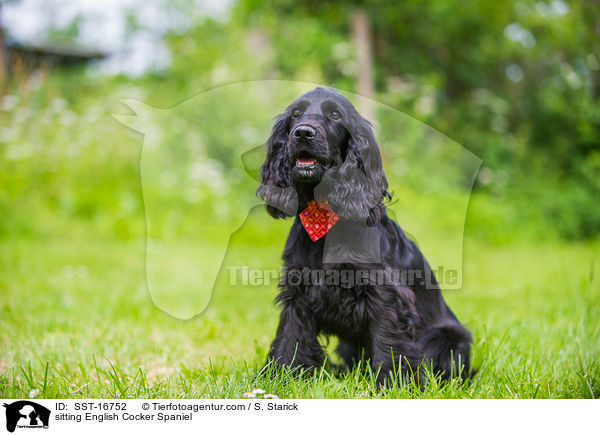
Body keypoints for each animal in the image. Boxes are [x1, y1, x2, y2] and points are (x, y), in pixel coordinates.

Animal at [255, 87, 472, 384]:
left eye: (335, 114)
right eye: (295, 113)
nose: (302, 133)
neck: (326, 219)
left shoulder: (386, 296)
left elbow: (389, 344)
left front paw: (391, 384)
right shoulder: (298, 292)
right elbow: (290, 338)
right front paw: (278, 378)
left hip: (449, 338)